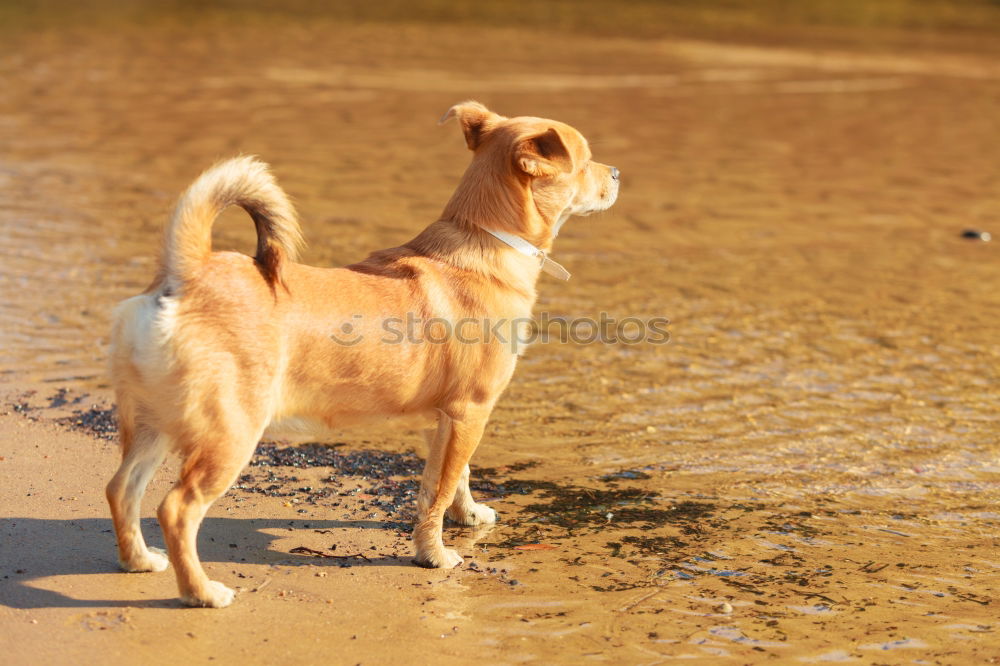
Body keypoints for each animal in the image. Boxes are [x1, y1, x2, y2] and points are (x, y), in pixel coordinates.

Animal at [103, 101, 616, 604]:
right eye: (585, 160)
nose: (615, 172)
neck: (483, 237)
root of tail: (187, 273)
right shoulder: (470, 411)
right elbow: (440, 490)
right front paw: (434, 555)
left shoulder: (450, 418)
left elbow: (452, 480)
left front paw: (466, 518)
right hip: (229, 435)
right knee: (177, 509)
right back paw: (201, 592)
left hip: (152, 424)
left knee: (121, 488)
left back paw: (138, 560)